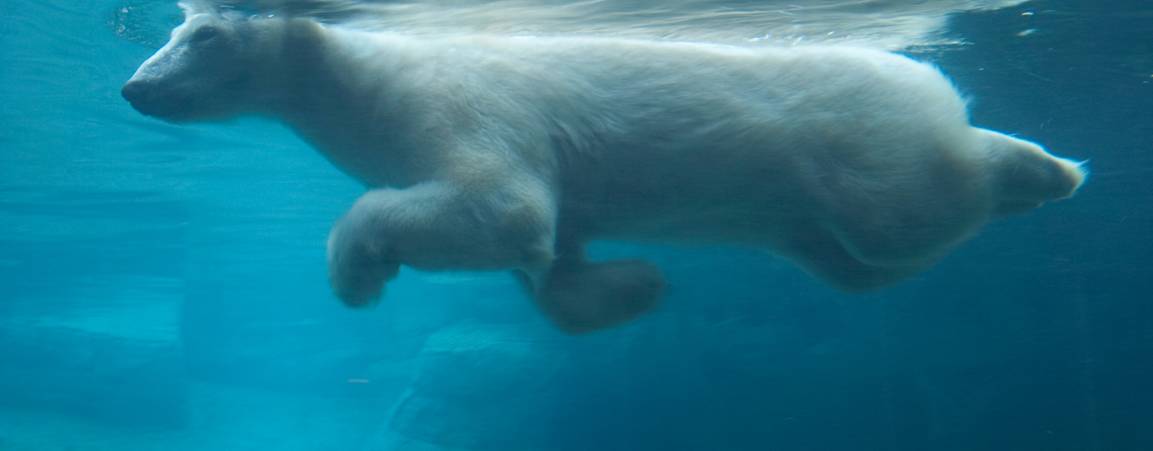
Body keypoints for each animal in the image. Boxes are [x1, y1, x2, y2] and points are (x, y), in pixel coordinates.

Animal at [122, 1, 1086, 333]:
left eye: (203, 35)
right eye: (176, 27)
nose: (135, 86)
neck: (366, 71)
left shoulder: (462, 105)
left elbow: (502, 205)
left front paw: (359, 268)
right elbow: (550, 248)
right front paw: (635, 286)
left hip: (853, 142)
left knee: (904, 209)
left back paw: (1042, 168)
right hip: (804, 214)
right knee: (847, 263)